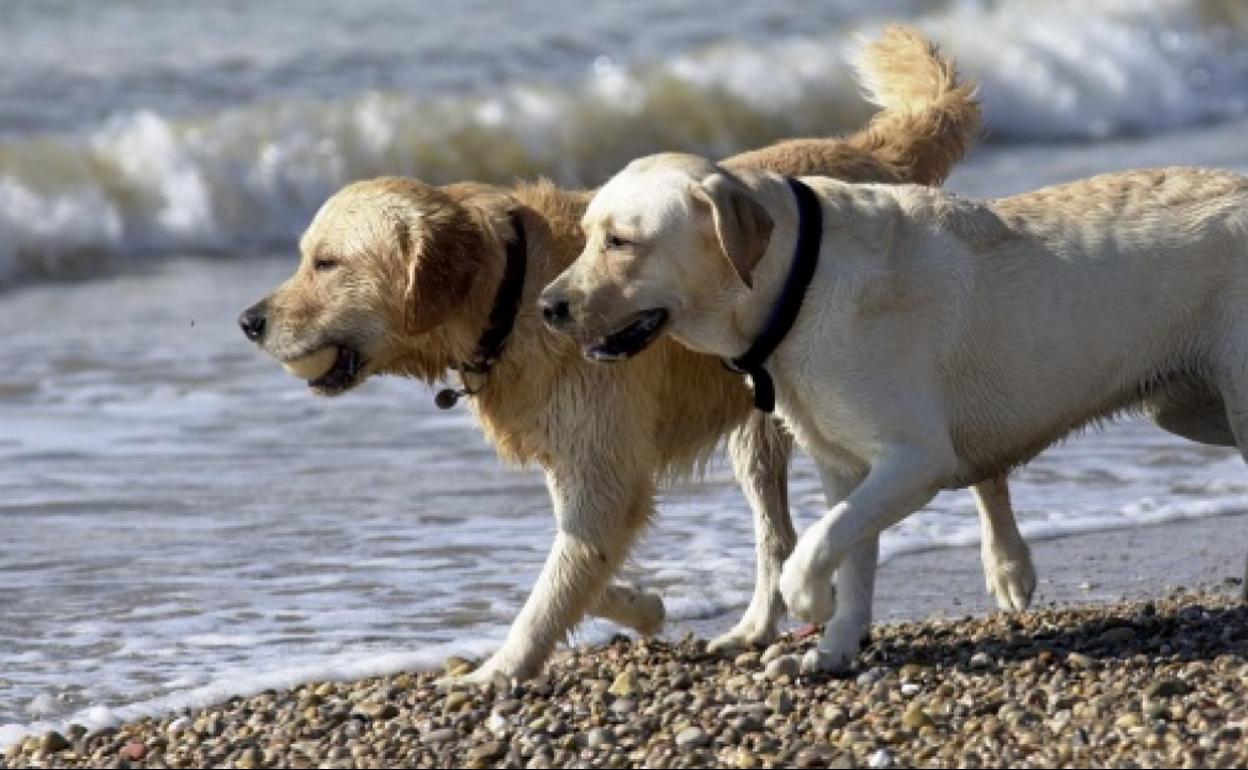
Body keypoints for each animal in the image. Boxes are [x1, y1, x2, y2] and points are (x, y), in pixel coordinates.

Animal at [544, 152, 1248, 668]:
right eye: (585, 237)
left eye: (620, 242)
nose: (548, 307)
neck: (798, 284)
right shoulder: (846, 468)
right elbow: (851, 550)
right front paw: (835, 648)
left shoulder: (915, 460)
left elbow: (819, 543)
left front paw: (809, 600)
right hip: (1187, 407)